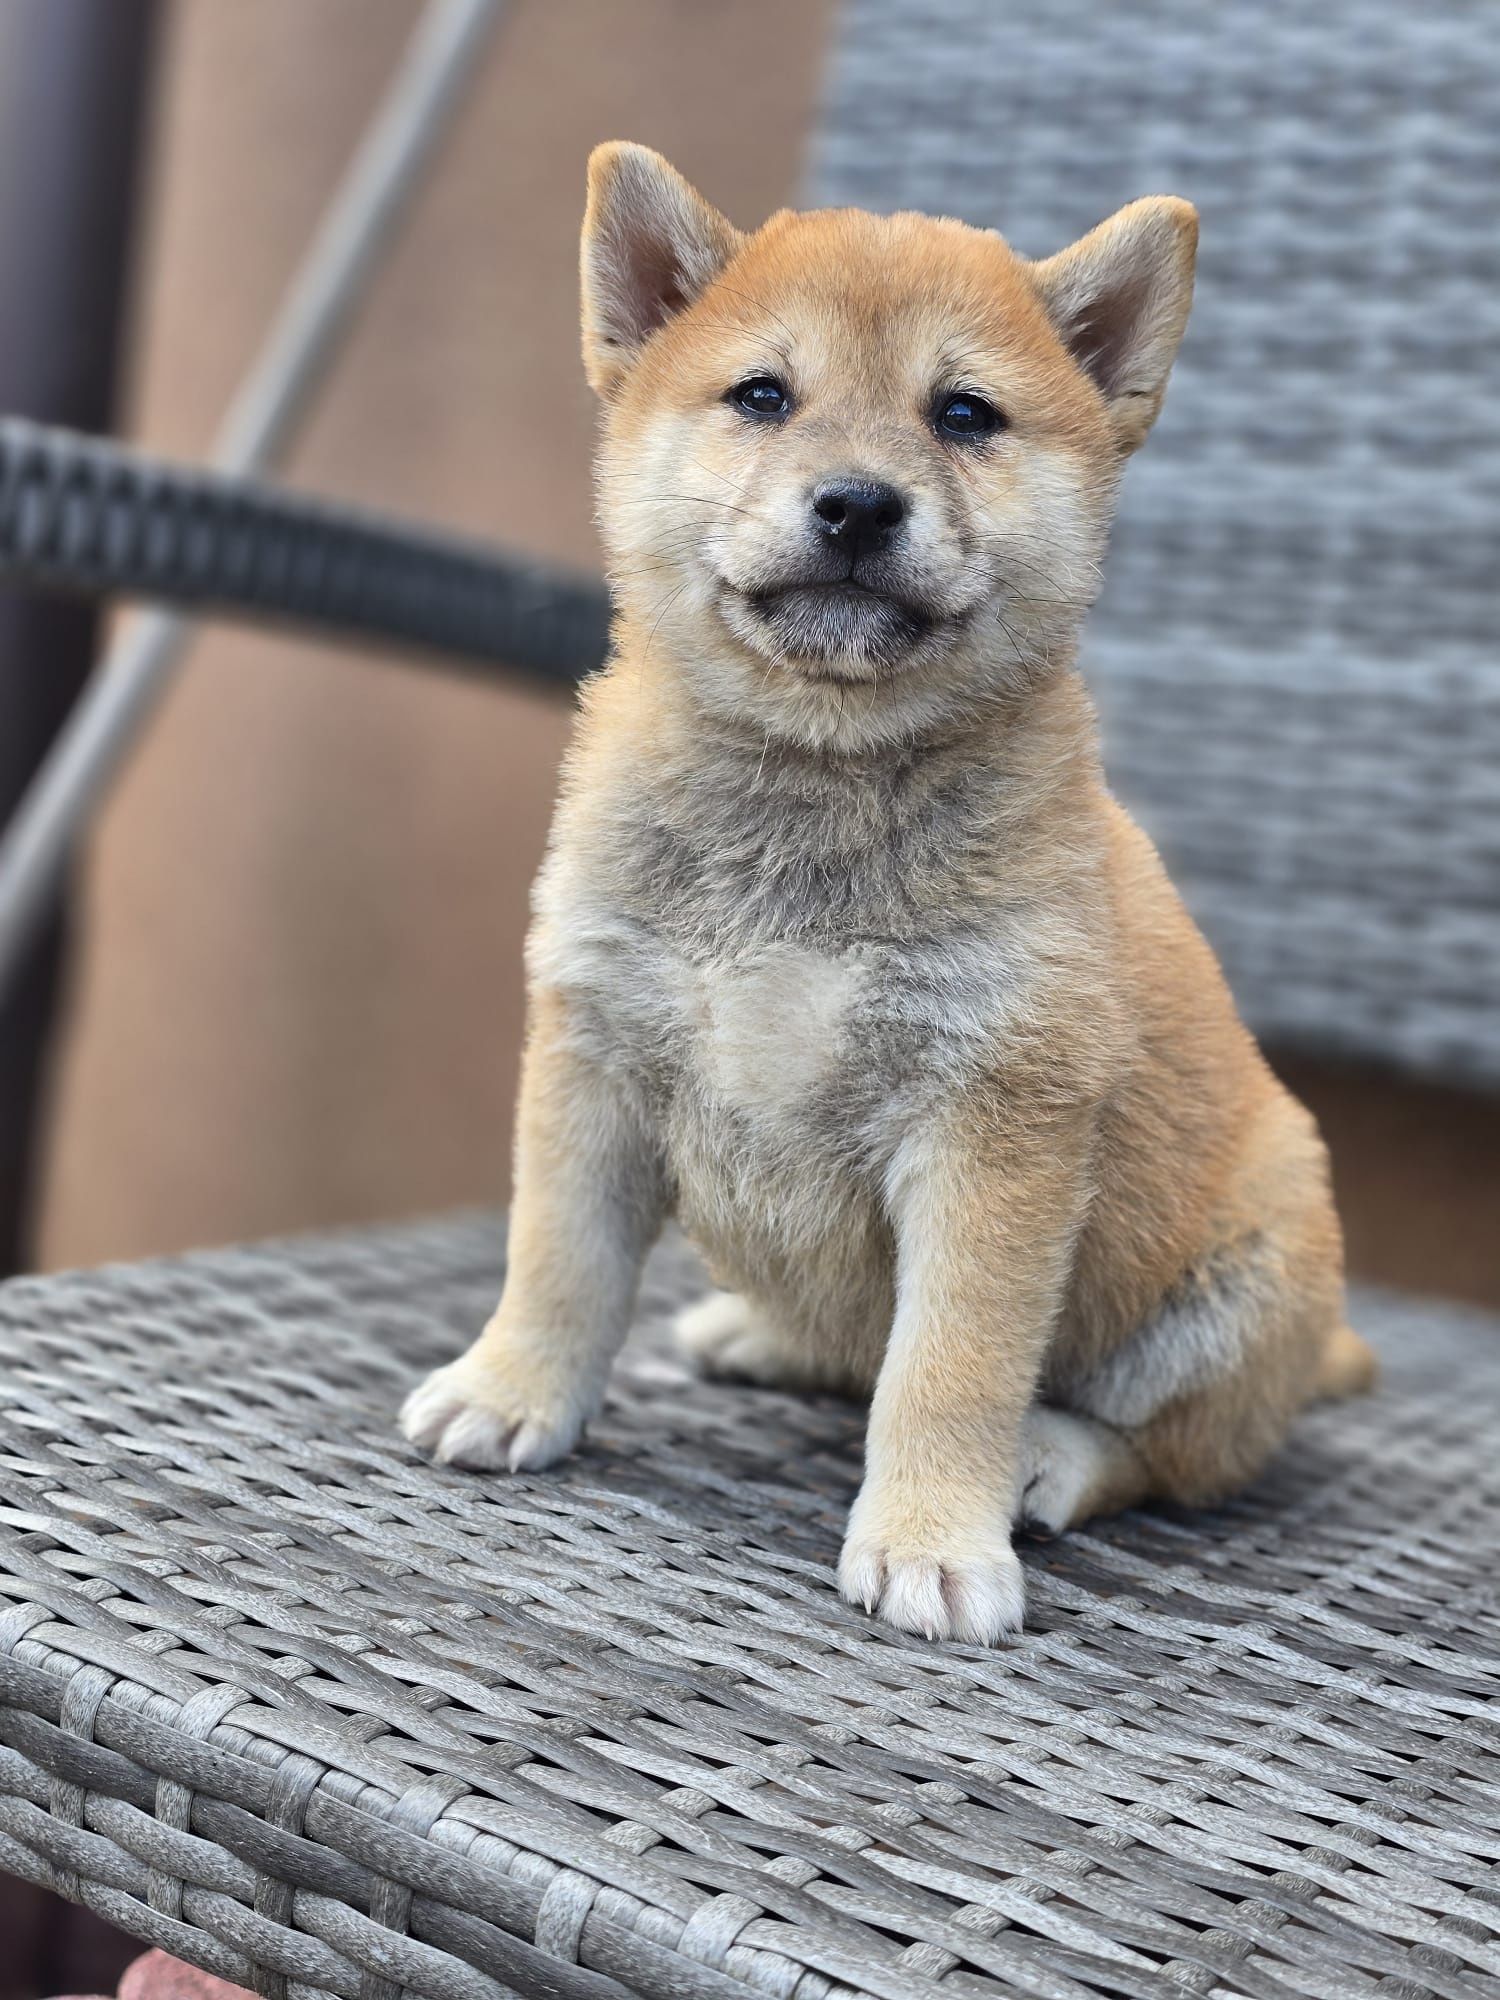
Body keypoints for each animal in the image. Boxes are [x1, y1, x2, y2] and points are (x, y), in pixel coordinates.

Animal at [402, 141, 1376, 1640]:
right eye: (763, 394)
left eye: (964, 414)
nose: (859, 501)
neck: (814, 784)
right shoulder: (596, 1055)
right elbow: (556, 1257)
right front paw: (511, 1393)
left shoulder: (992, 1128)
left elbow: (948, 1365)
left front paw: (931, 1539)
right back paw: (757, 1328)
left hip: (1234, 1289)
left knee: (1166, 1450)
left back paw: (1050, 1458)